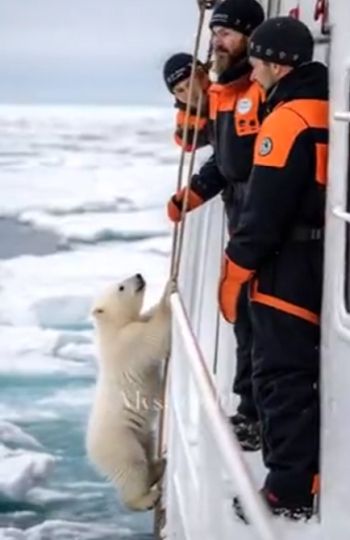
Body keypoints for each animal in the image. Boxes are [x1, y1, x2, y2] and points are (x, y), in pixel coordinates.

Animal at [85, 274, 172, 510]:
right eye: (121, 287)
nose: (139, 275)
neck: (112, 329)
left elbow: (146, 318)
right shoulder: (127, 342)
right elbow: (152, 338)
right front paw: (168, 293)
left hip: (141, 433)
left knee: (148, 445)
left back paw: (158, 465)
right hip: (119, 438)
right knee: (133, 464)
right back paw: (144, 498)